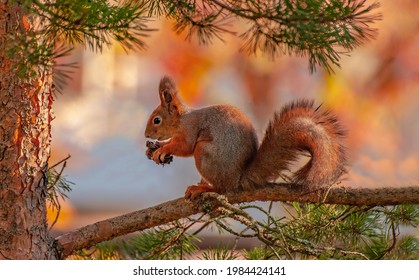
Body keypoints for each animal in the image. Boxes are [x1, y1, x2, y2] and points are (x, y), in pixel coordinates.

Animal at [145, 76, 348, 199]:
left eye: (157, 120)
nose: (146, 135)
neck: (181, 120)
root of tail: (238, 179)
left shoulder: (190, 129)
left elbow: (185, 147)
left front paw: (163, 149)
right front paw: (158, 145)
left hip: (204, 154)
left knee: (222, 188)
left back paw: (204, 187)